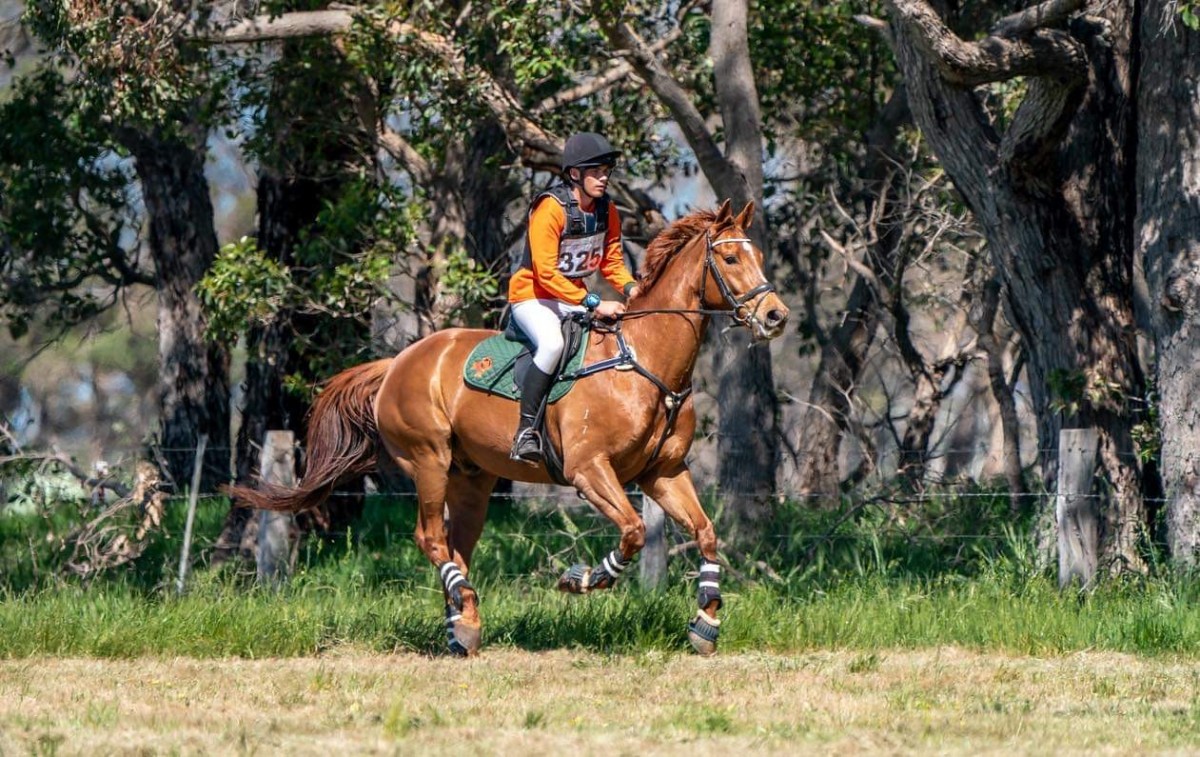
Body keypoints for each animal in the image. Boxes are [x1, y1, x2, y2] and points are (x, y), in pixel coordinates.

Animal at [231, 199, 789, 656]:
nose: (776, 316)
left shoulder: (663, 473)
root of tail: (395, 363)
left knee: (456, 545)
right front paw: (581, 579)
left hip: (473, 479)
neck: (644, 359)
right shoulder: (589, 471)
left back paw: (462, 624)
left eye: (759, 256)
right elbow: (632, 532)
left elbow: (706, 533)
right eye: (731, 259)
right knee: (430, 537)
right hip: (428, 460)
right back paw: (464, 608)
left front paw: (706, 621)